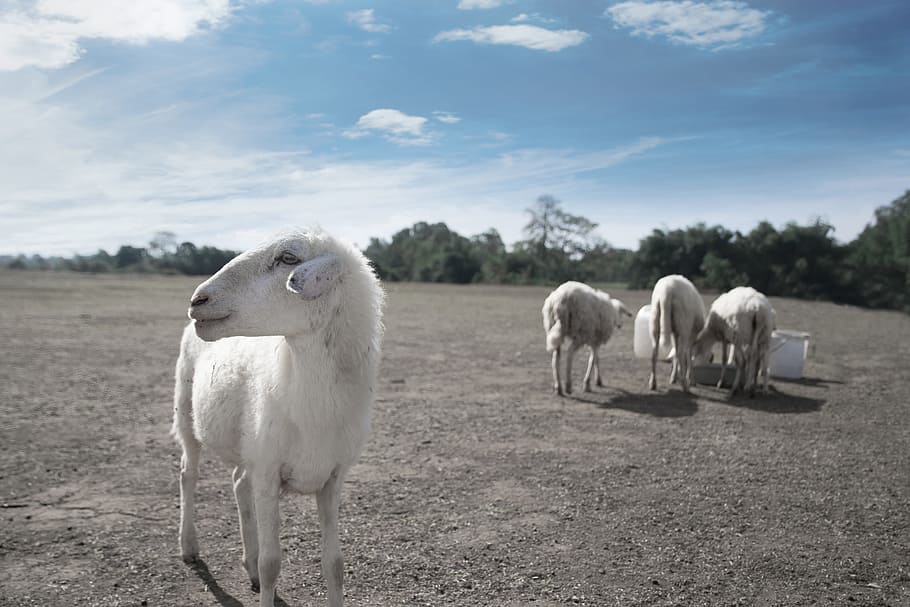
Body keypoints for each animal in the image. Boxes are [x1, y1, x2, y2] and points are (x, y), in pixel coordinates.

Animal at [171, 229, 384, 607]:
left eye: (288, 258)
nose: (198, 300)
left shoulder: (332, 478)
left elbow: (335, 565)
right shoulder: (269, 474)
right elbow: (272, 565)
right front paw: (264, 571)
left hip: (252, 449)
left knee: (239, 482)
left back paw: (248, 563)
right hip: (186, 414)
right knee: (188, 473)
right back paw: (190, 546)